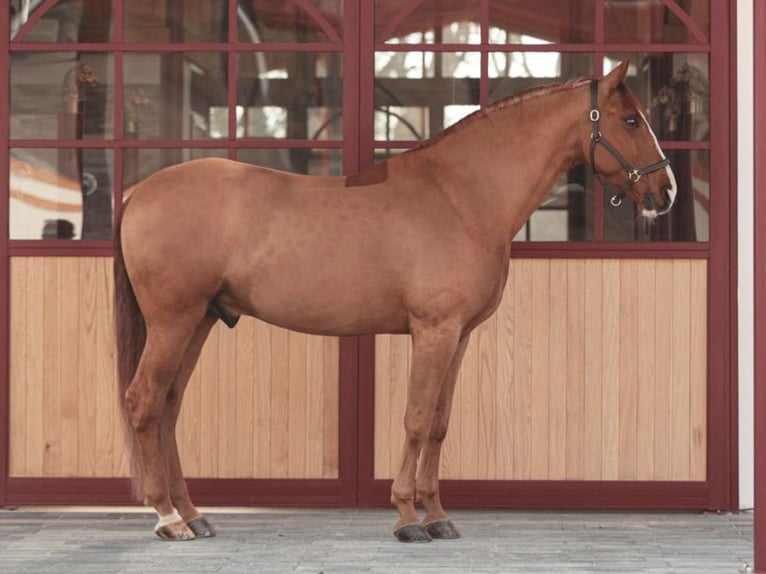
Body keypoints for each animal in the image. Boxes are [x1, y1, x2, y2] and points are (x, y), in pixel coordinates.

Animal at [114, 60, 680, 544]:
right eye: (631, 119)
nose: (667, 191)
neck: (461, 196)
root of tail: (138, 193)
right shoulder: (434, 330)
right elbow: (415, 417)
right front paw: (407, 518)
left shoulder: (458, 335)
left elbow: (439, 423)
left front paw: (438, 517)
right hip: (173, 321)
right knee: (144, 401)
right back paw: (168, 519)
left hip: (201, 321)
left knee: (168, 407)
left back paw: (194, 514)